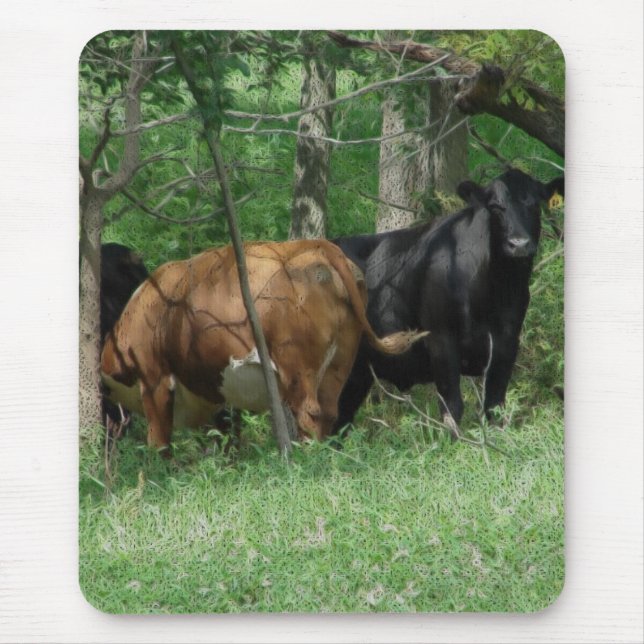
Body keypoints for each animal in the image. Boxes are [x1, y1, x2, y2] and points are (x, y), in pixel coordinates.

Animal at [100, 239, 427, 453]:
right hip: (339, 363)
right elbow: (227, 436)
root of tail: (317, 248)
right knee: (330, 412)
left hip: (297, 368)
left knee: (309, 413)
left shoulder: (154, 380)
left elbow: (159, 441)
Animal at [332, 168, 564, 437]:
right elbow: (452, 407)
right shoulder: (441, 339)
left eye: (534, 203)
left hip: (358, 373)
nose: (519, 244)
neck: (493, 292)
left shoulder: (507, 341)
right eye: (495, 206)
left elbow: (495, 406)